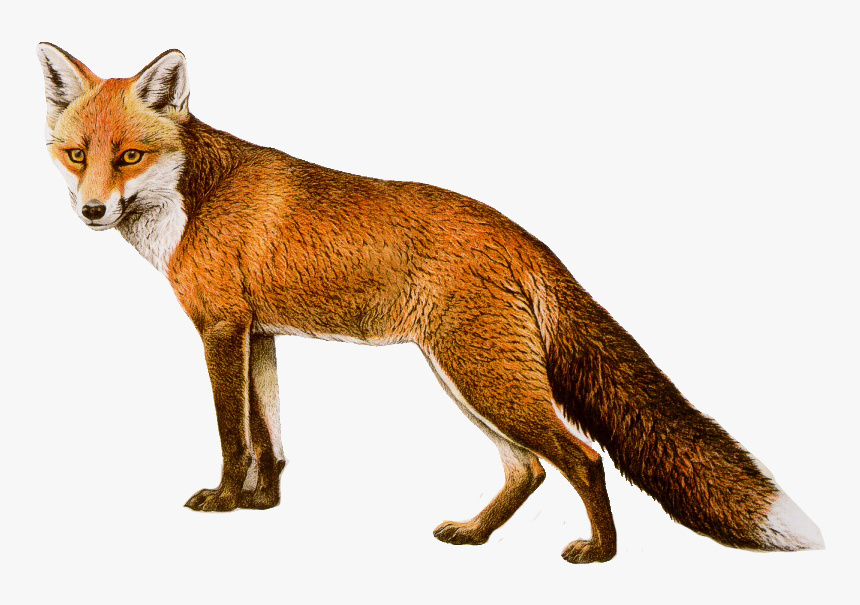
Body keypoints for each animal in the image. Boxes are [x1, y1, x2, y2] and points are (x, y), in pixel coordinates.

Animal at [37, 42, 823, 563]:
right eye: (77, 154)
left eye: (130, 156)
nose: (92, 211)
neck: (192, 201)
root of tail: (521, 235)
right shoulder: (258, 334)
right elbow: (271, 438)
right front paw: (264, 504)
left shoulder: (220, 329)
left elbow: (235, 437)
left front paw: (227, 502)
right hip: (465, 377)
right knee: (529, 469)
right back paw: (475, 534)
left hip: (483, 377)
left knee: (584, 457)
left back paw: (600, 553)